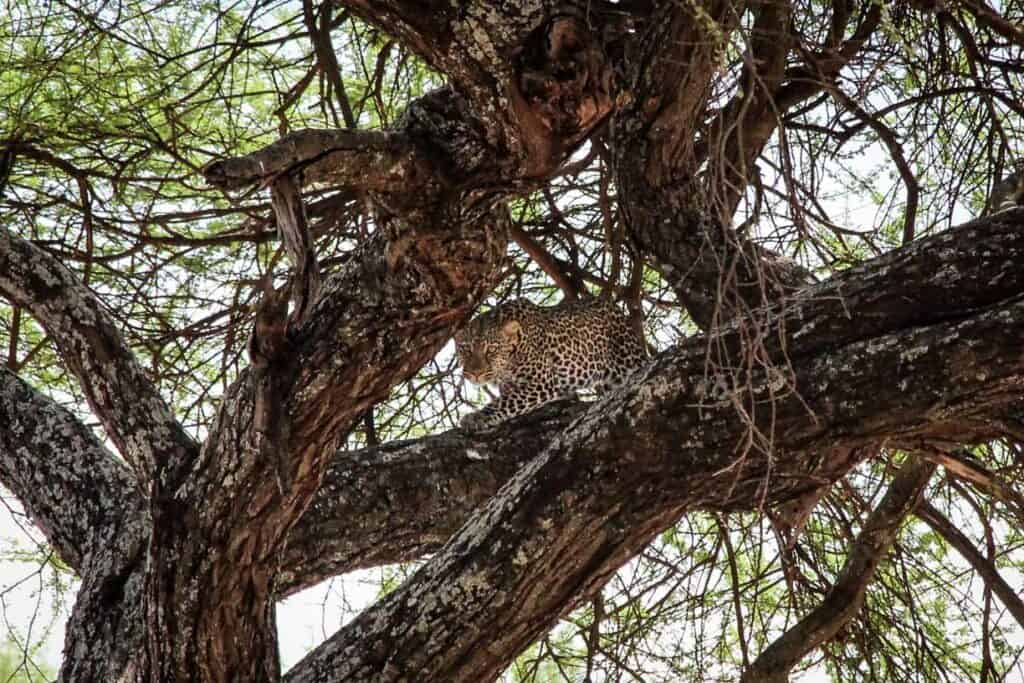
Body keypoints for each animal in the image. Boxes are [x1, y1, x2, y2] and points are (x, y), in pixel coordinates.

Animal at [454, 296, 647, 430]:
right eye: (465, 349)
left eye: (491, 350)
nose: (475, 374)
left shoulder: (541, 382)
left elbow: (506, 402)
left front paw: (477, 417)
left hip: (629, 361)